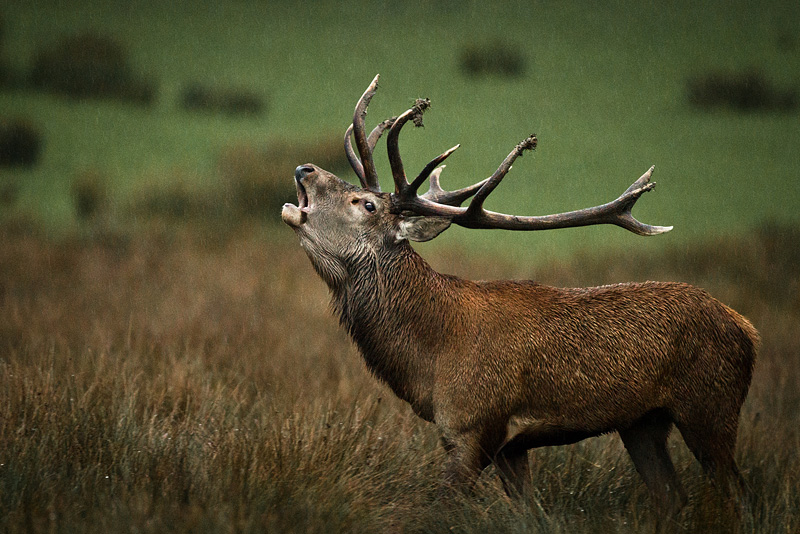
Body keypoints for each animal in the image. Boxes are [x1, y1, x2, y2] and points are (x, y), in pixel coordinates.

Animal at [281, 75, 759, 517]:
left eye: (367, 205)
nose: (305, 169)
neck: (429, 357)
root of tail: (747, 329)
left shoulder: (473, 426)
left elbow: (440, 508)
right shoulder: (509, 445)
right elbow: (531, 515)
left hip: (710, 406)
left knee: (739, 494)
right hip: (643, 423)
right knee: (672, 497)